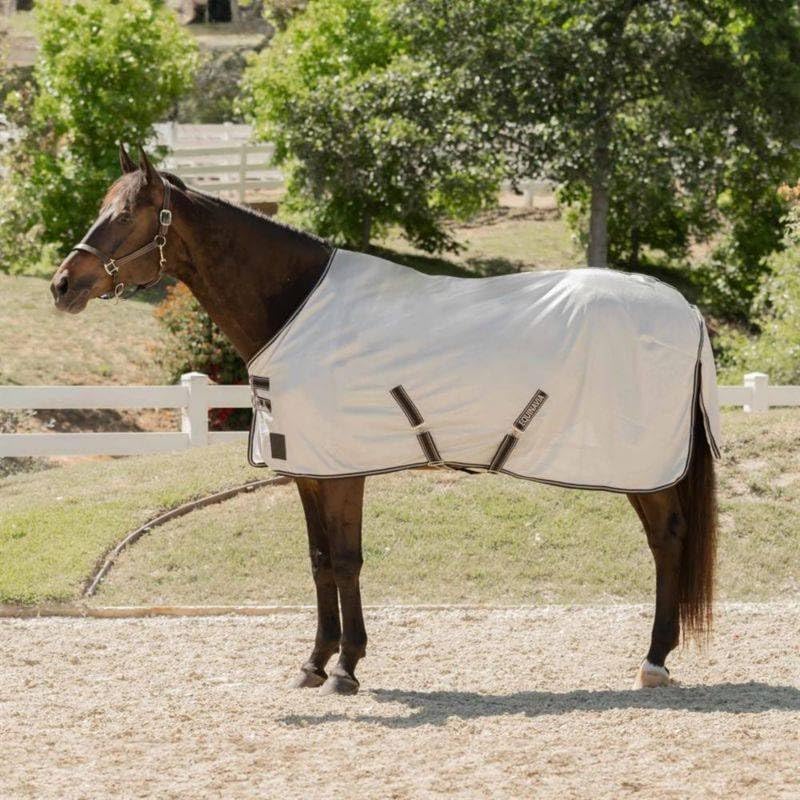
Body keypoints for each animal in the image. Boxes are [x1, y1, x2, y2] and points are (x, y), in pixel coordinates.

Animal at [50, 145, 717, 696]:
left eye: (127, 215)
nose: (62, 284)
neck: (296, 310)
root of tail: (685, 308)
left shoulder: (345, 471)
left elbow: (347, 560)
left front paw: (346, 668)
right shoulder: (310, 471)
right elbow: (319, 560)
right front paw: (314, 663)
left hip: (643, 468)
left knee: (667, 538)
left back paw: (654, 660)